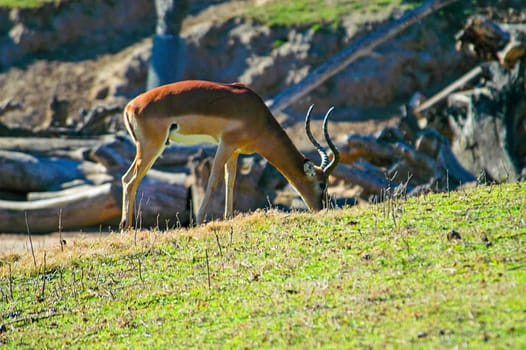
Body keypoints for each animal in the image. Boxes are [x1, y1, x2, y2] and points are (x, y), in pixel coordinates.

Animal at [120, 79, 342, 230]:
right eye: (322, 184)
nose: (322, 208)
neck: (256, 115)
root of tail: (130, 106)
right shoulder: (225, 144)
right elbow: (213, 180)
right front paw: (198, 222)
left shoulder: (235, 151)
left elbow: (231, 181)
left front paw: (228, 218)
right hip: (151, 148)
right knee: (131, 182)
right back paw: (128, 229)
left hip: (148, 149)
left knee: (126, 179)